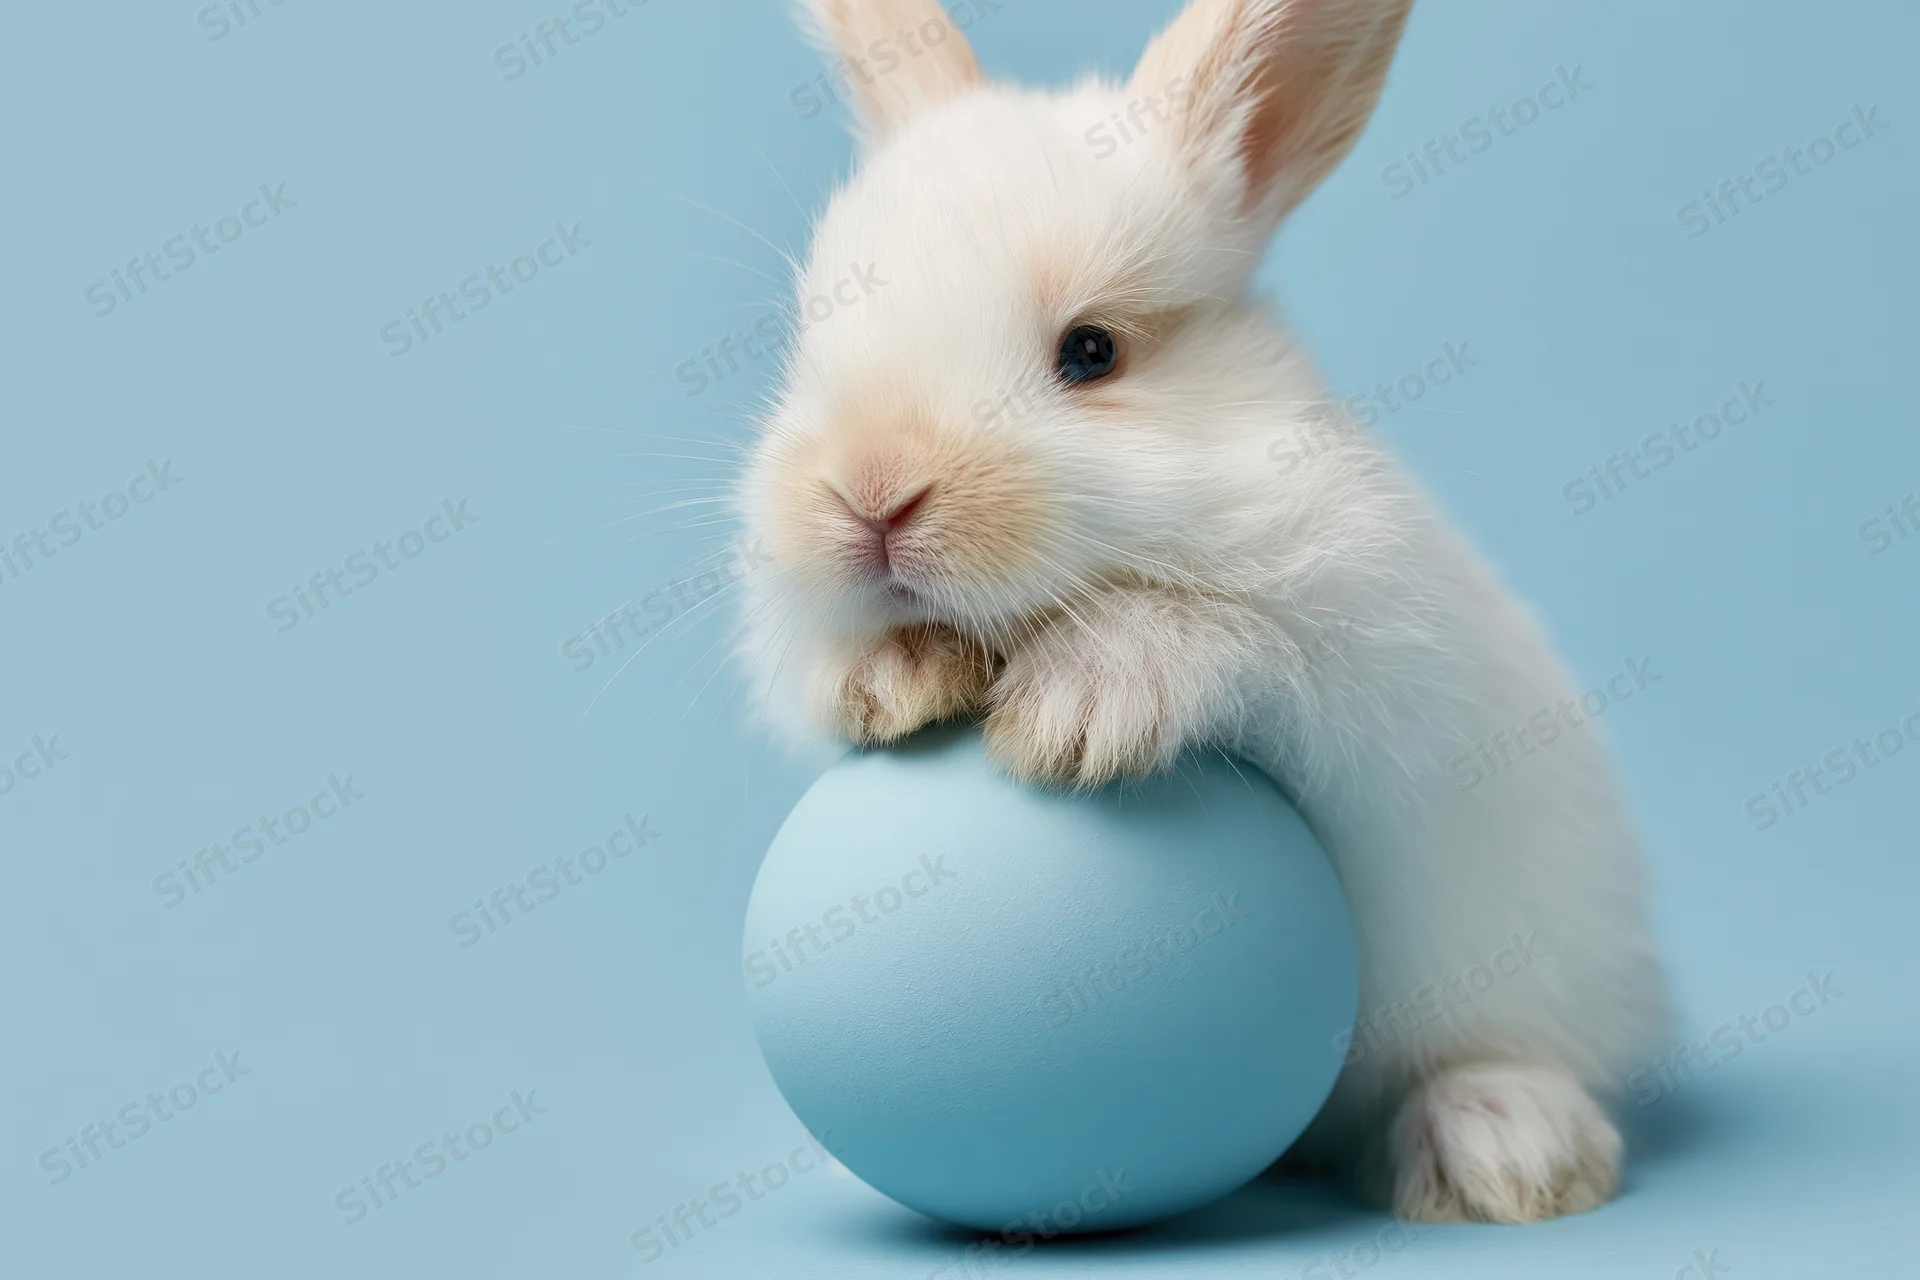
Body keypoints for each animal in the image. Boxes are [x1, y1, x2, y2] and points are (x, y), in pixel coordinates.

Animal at [733, 0, 1672, 1225]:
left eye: (1091, 352)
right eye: (812, 339)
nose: (869, 491)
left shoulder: (1358, 641)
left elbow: (1214, 629)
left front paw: (1076, 714)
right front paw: (887, 682)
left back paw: (1505, 1152)